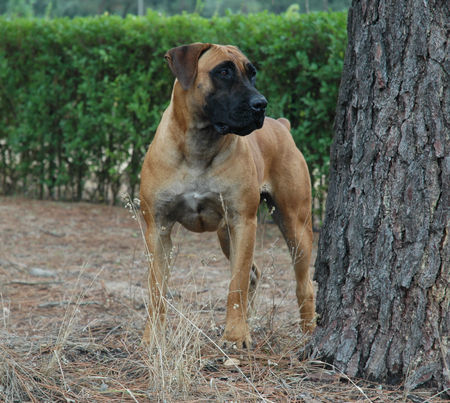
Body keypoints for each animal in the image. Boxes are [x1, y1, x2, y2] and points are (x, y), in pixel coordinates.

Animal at [142, 43, 316, 348]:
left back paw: (308, 333)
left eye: (252, 73)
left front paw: (235, 335)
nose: (261, 104)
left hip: (295, 226)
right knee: (255, 274)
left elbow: (236, 284)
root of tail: (282, 125)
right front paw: (153, 337)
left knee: (303, 284)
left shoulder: (242, 222)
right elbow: (156, 288)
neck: (199, 144)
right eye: (223, 72)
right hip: (225, 234)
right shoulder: (158, 228)